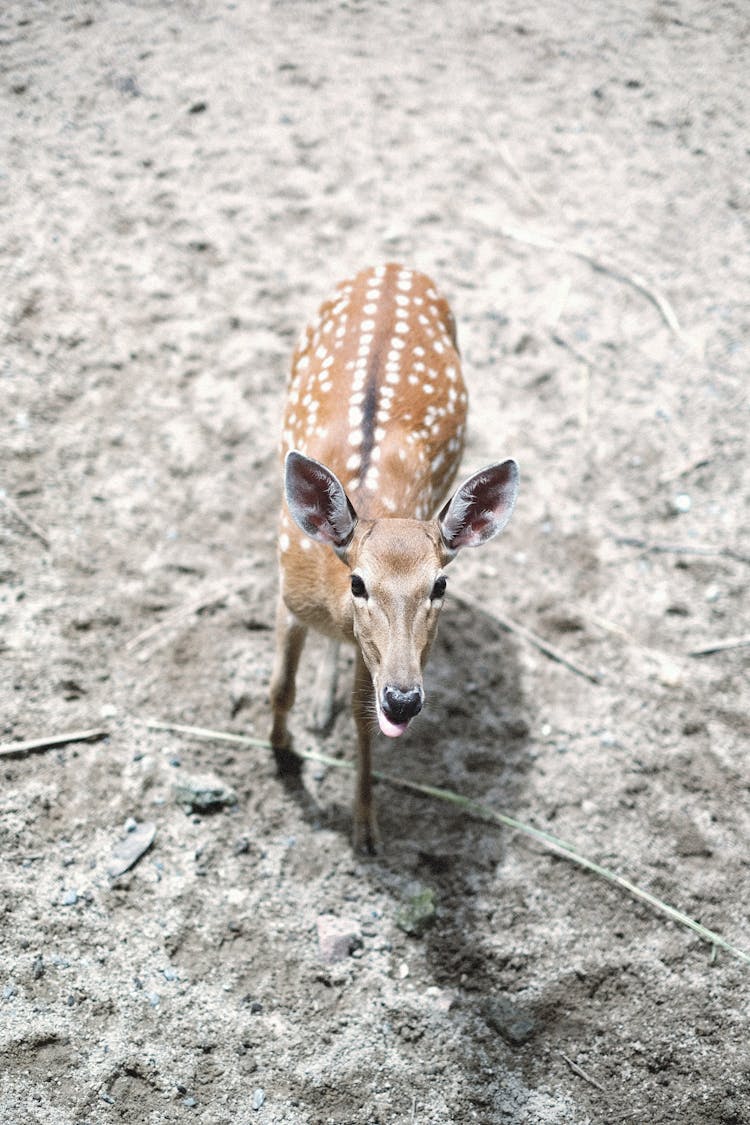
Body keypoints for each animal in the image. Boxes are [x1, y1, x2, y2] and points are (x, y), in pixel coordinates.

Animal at [270, 263, 521, 846]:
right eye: (358, 582)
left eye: (440, 584)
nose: (404, 700)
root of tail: (392, 265)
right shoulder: (286, 591)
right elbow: (279, 688)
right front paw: (282, 754)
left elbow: (364, 719)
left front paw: (365, 827)